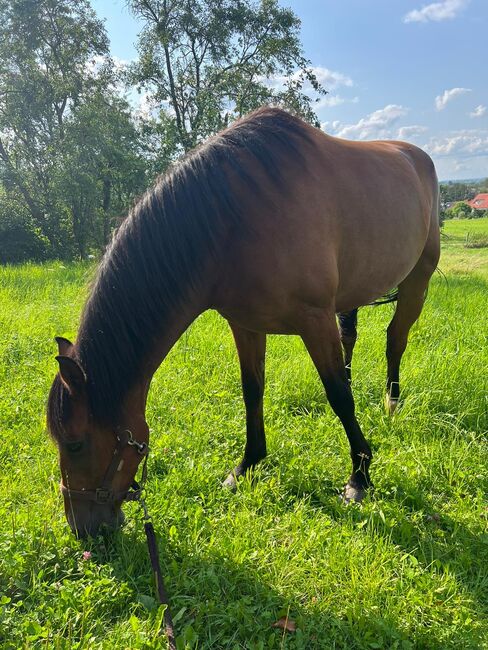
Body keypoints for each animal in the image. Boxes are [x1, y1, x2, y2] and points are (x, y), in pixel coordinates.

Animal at [47, 107, 440, 536]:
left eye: (75, 443)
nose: (82, 527)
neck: (232, 219)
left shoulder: (314, 318)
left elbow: (338, 397)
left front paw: (359, 477)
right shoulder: (246, 325)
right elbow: (252, 391)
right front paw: (246, 465)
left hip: (417, 282)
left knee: (394, 339)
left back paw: (392, 401)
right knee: (351, 336)